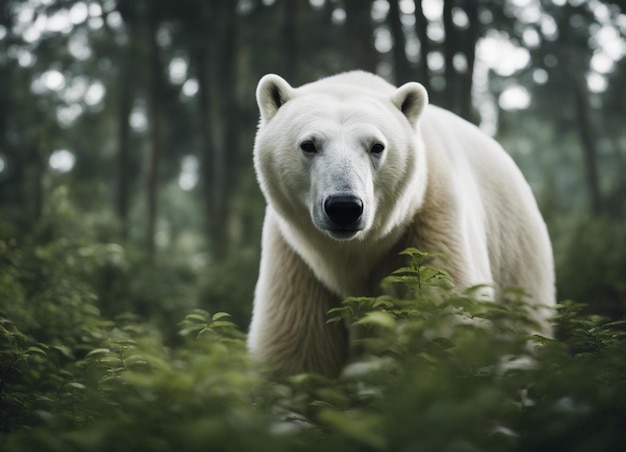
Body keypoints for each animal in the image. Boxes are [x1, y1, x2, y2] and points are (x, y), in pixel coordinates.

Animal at [246, 71, 552, 378]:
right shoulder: (296, 259)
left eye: (377, 146)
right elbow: (296, 350)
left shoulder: (430, 221)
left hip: (515, 253)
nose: (344, 207)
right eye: (309, 145)